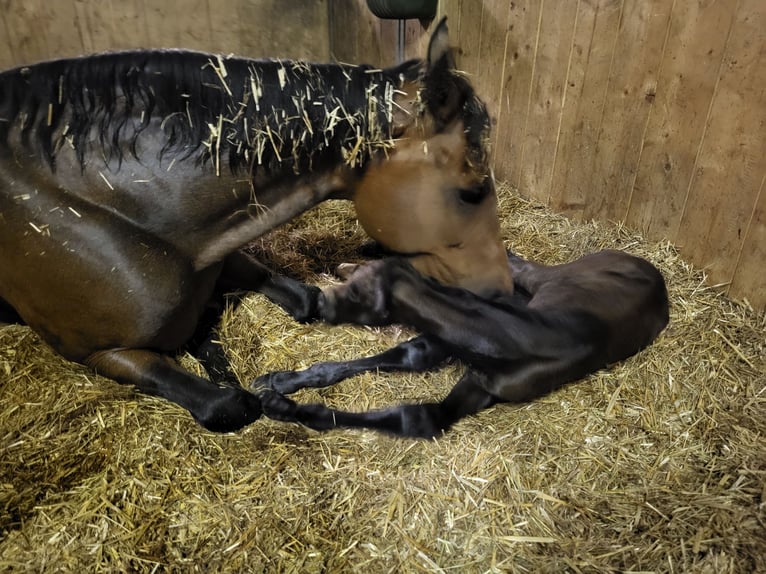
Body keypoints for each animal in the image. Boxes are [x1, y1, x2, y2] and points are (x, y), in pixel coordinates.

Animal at [258, 250, 672, 438]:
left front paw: (281, 404)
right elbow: (412, 353)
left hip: (552, 279)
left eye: (359, 290)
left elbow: (422, 416)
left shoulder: (479, 386)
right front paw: (279, 383)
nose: (322, 305)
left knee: (522, 268)